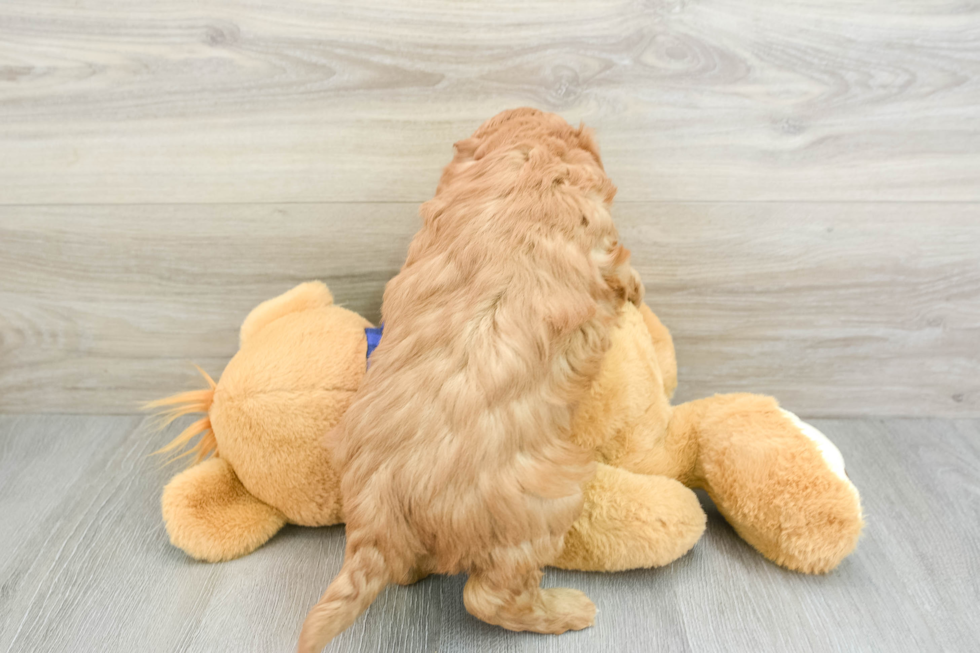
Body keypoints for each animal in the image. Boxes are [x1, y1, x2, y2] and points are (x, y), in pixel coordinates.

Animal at [302, 107, 648, 648]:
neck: (523, 162)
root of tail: (381, 504)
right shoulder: (600, 239)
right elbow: (622, 267)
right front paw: (637, 290)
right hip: (538, 510)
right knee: (489, 597)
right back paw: (567, 610)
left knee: (410, 569)